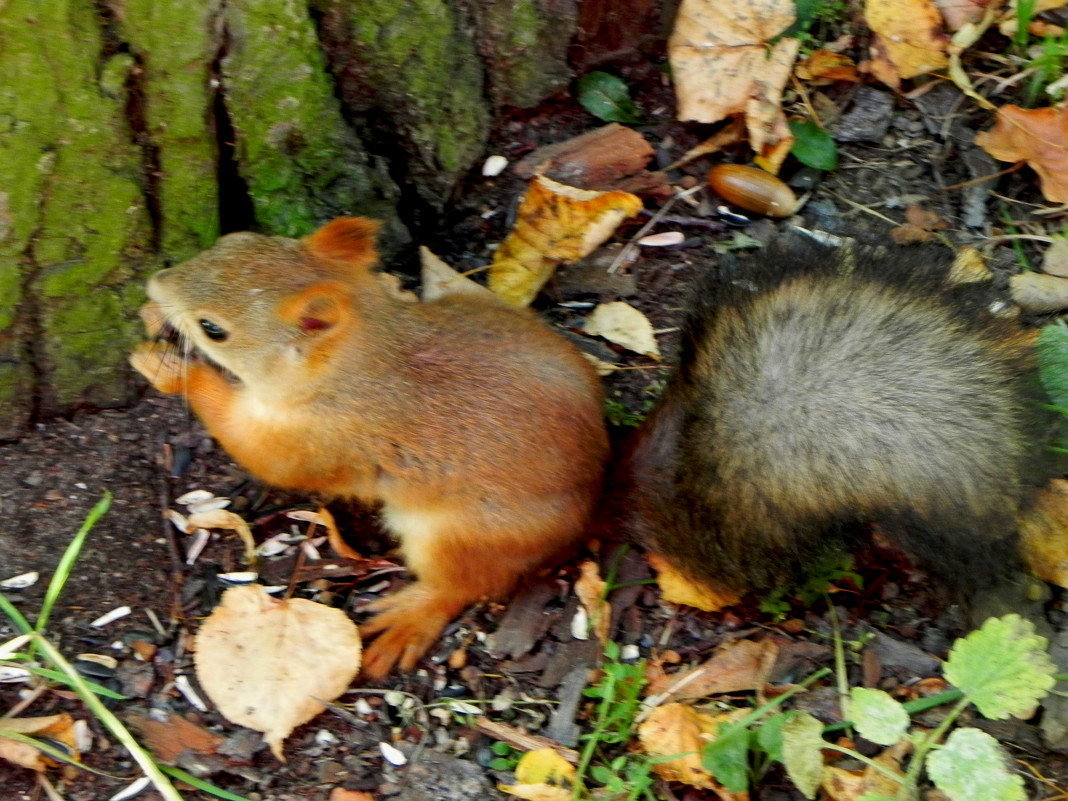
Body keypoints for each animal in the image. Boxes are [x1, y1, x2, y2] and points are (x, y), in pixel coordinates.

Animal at [129, 216, 606, 679]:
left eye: (213, 330)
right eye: (233, 239)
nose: (155, 283)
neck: (365, 359)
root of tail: (586, 507)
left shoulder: (315, 439)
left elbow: (258, 453)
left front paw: (169, 370)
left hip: (460, 535)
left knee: (466, 584)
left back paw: (414, 614)